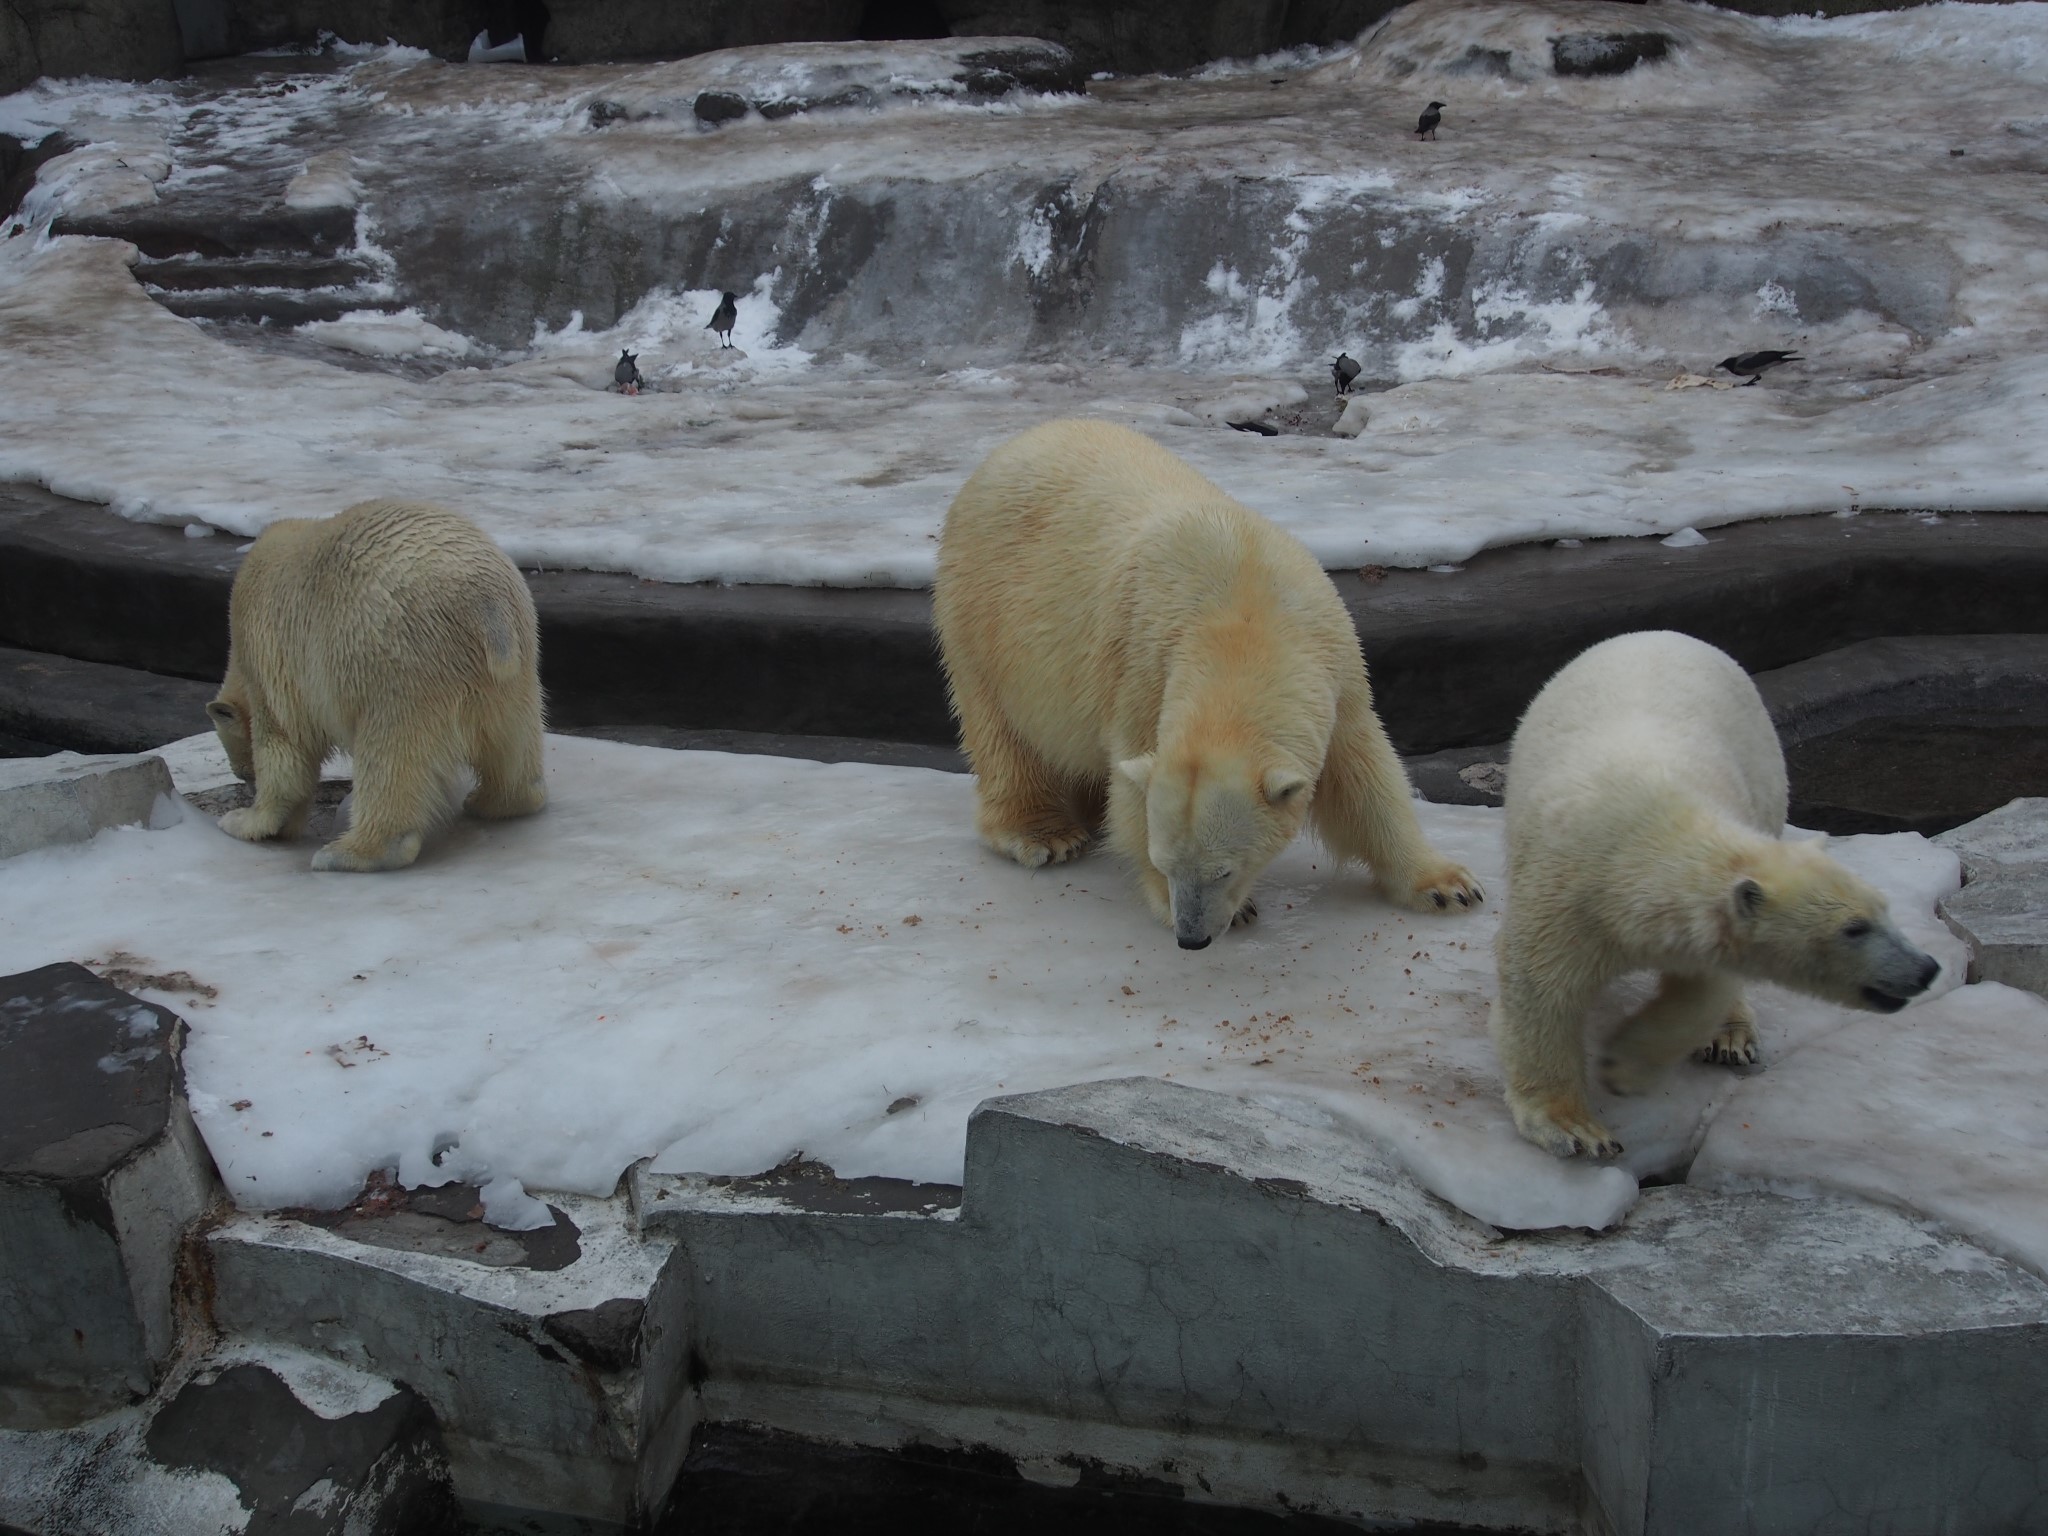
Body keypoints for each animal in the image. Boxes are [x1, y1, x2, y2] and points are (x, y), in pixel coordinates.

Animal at [203, 499, 548, 872]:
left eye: (243, 773)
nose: (246, 782)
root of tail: (487, 607)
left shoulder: (272, 663)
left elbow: (284, 750)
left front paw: (244, 820)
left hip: (399, 667)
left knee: (390, 754)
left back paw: (346, 852)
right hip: (513, 671)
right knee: (515, 742)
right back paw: (492, 800)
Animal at [937, 421, 1482, 950]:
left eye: (1225, 870)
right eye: (1165, 863)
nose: (1192, 937)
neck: (1244, 616)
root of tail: (1005, 451)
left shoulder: (1336, 666)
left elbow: (1365, 776)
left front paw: (1448, 886)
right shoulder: (1142, 674)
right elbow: (1132, 798)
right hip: (981, 610)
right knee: (1002, 732)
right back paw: (1044, 835)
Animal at [1490, 630, 1933, 1163]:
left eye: (1885, 909)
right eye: (1854, 928)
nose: (1925, 969)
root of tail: (1661, 633)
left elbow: (1702, 990)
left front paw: (1625, 1064)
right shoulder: (1565, 892)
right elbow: (1542, 988)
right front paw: (1575, 1128)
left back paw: (1732, 1036)